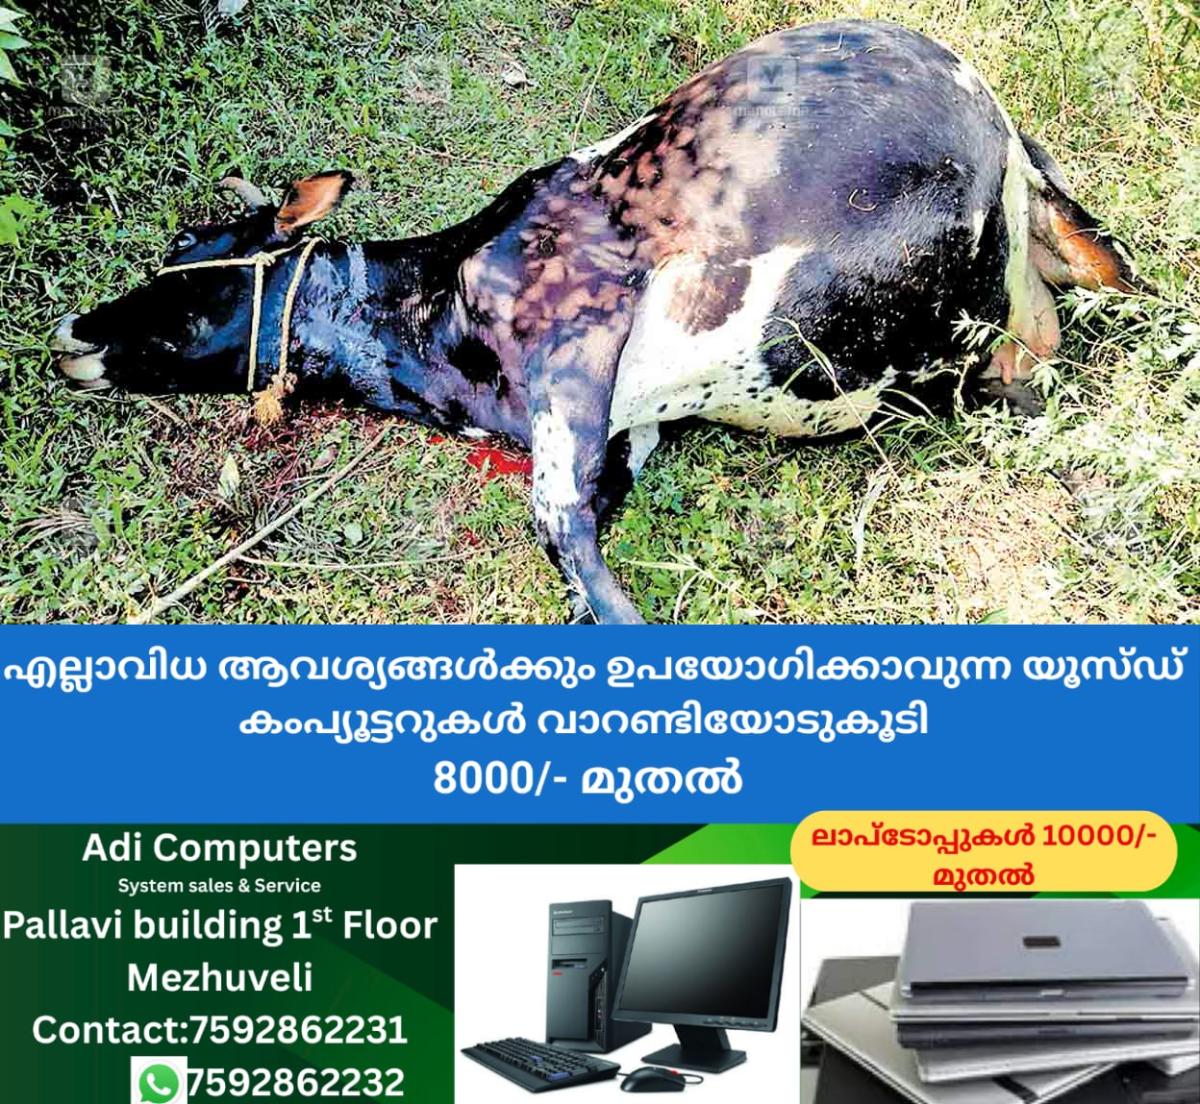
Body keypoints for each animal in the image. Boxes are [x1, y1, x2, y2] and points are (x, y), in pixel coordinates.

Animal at [51, 20, 1137, 623]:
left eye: (187, 246)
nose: (71, 335)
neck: (433, 320)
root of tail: (1005, 138)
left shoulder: (574, 354)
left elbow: (569, 549)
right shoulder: (623, 436)